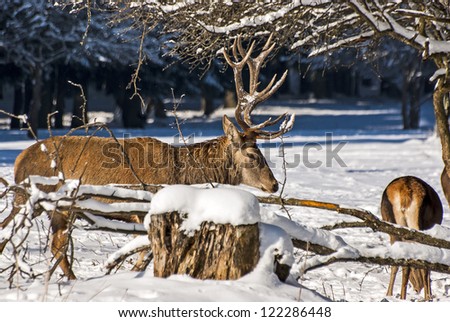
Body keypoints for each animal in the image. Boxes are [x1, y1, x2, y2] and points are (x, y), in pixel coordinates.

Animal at [5, 34, 294, 278]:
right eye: (253, 154)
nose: (274, 184)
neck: (182, 174)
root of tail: (19, 160)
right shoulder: (142, 209)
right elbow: (146, 253)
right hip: (35, 199)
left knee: (52, 244)